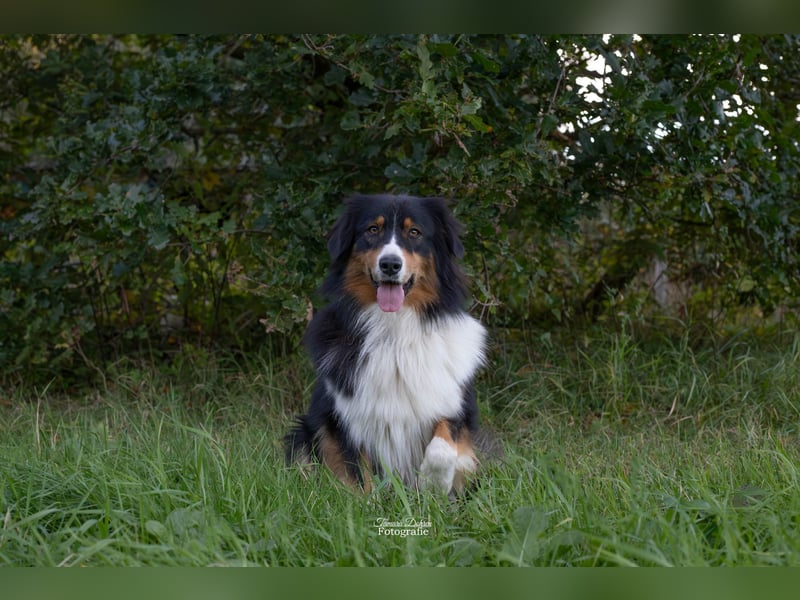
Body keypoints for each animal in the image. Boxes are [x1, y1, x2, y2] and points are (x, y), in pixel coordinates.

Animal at [288, 195, 488, 494]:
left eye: (415, 232)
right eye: (372, 229)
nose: (390, 264)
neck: (394, 328)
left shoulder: (456, 405)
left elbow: (443, 446)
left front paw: (433, 482)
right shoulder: (347, 419)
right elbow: (360, 475)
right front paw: (367, 503)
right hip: (302, 434)